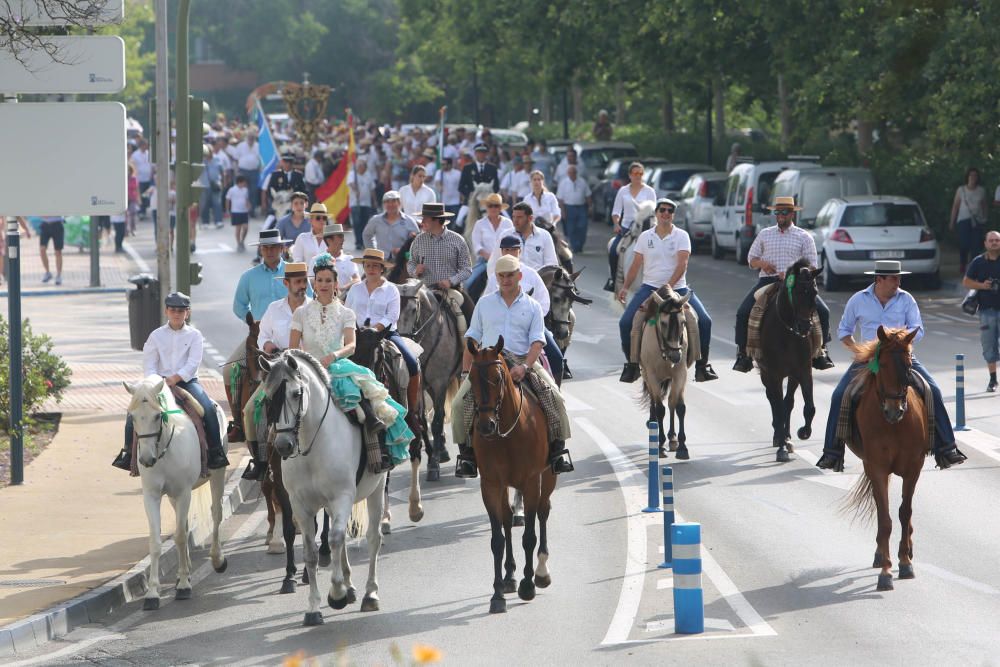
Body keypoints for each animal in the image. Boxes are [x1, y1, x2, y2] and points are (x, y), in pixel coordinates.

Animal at [123, 376, 229, 612]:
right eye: (132, 417)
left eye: (157, 416)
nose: (146, 459)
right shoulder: (151, 496)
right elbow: (156, 541)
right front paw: (153, 593)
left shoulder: (183, 492)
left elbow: (180, 537)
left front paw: (182, 586)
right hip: (172, 497)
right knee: (187, 525)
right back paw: (187, 571)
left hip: (217, 475)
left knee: (216, 513)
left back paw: (217, 559)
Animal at [260, 350, 388, 628]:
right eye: (268, 396)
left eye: (296, 393)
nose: (283, 445)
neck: (312, 445)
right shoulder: (300, 505)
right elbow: (311, 553)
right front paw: (313, 608)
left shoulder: (342, 497)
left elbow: (336, 538)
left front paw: (337, 594)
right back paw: (351, 587)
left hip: (376, 489)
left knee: (373, 538)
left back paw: (370, 594)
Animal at [466, 336, 560, 612]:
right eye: (471, 377)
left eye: (498, 377)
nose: (485, 425)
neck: (507, 431)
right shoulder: (491, 484)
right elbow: (497, 538)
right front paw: (497, 594)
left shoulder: (530, 481)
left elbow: (529, 536)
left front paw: (528, 586)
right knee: (507, 519)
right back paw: (509, 577)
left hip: (548, 477)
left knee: (543, 511)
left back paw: (541, 572)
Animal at [756, 260, 820, 464]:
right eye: (798, 292)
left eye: (815, 292)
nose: (806, 327)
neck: (789, 332)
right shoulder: (774, 373)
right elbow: (777, 406)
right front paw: (782, 447)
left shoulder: (803, 371)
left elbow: (809, 407)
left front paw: (803, 432)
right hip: (766, 373)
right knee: (773, 399)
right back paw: (779, 436)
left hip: (792, 376)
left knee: (788, 402)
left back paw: (787, 436)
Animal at [840, 326, 924, 592]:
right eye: (883, 364)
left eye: (909, 365)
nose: (894, 410)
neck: (894, 426)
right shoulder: (876, 467)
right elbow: (885, 519)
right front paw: (886, 571)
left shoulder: (913, 468)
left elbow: (904, 512)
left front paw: (905, 562)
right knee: (880, 512)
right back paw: (879, 556)